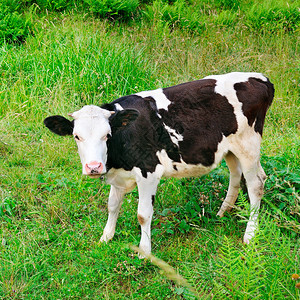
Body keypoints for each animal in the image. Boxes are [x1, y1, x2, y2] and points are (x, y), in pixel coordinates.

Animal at [44, 71, 274, 254]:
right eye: (76, 136)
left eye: (107, 135)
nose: (93, 167)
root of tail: (260, 78)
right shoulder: (118, 177)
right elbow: (112, 205)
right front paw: (106, 237)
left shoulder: (149, 172)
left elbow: (143, 214)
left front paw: (144, 252)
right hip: (230, 148)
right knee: (237, 176)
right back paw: (222, 212)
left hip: (249, 145)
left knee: (256, 184)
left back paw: (250, 233)